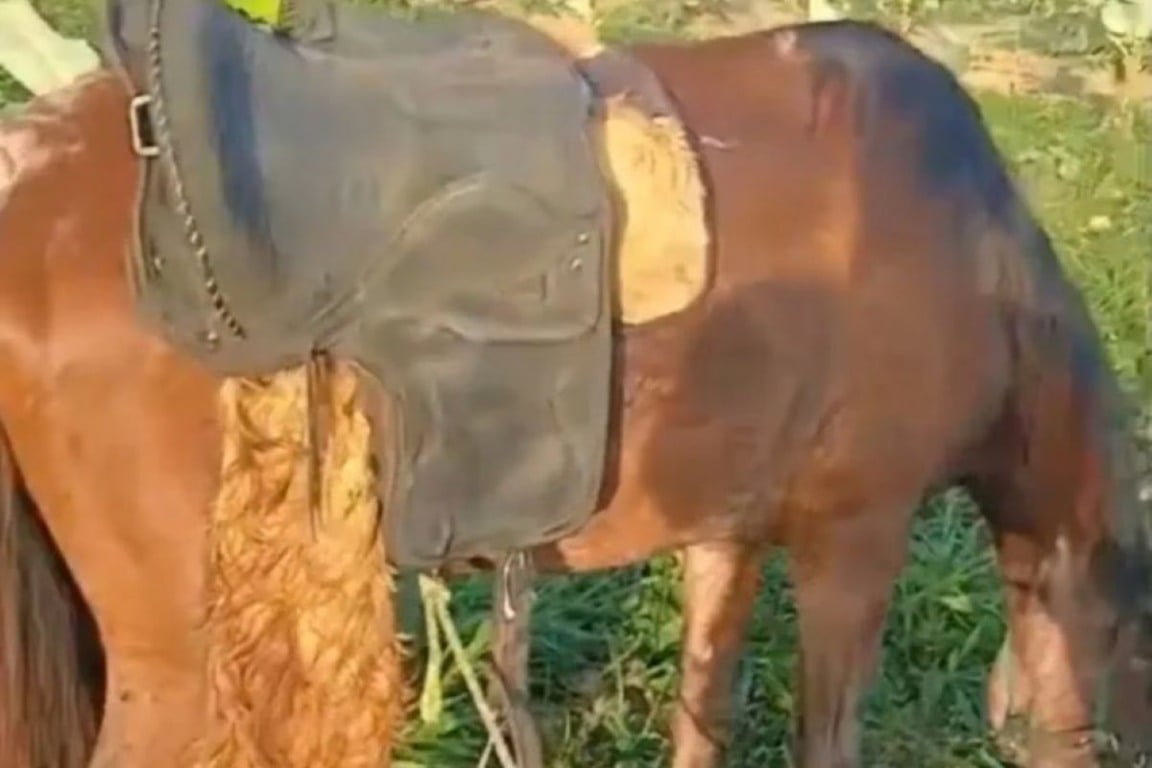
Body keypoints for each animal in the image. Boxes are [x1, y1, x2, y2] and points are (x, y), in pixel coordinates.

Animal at [0, 9, 1149, 768]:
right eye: (1125, 646)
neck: (973, 259)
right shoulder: (854, 540)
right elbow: (826, 738)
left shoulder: (728, 531)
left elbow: (702, 707)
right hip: (176, 658)